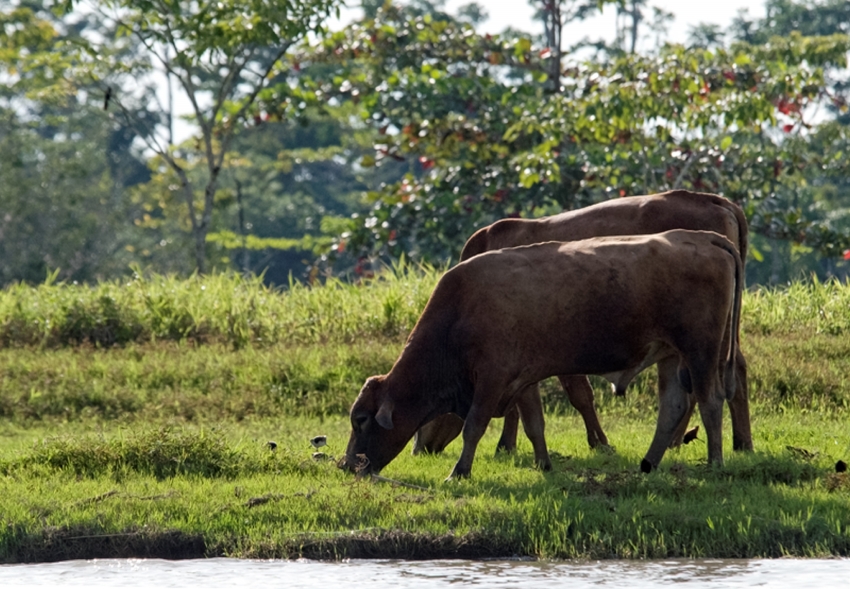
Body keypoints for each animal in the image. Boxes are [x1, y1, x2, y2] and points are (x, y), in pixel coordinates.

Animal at [342, 227, 740, 480]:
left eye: (360, 419)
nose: (346, 466)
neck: (460, 311)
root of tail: (703, 236)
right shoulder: (523, 379)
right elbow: (534, 424)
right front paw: (544, 464)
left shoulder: (492, 378)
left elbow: (474, 427)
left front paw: (459, 472)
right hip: (671, 355)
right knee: (672, 406)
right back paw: (649, 464)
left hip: (701, 351)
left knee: (710, 402)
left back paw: (716, 463)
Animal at [410, 191, 748, 458]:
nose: (419, 449)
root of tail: (713, 199)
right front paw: (507, 445)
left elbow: (579, 396)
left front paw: (598, 442)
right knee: (731, 372)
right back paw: (737, 442)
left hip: (703, 333)